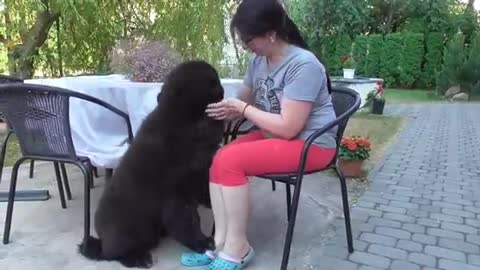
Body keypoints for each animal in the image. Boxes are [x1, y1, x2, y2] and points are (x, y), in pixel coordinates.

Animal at [78, 60, 225, 268]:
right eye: (212, 82)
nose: (222, 90)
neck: (185, 121)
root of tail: (102, 242)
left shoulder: (198, 175)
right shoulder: (177, 193)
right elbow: (188, 221)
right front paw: (202, 242)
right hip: (127, 231)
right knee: (114, 254)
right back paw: (138, 258)